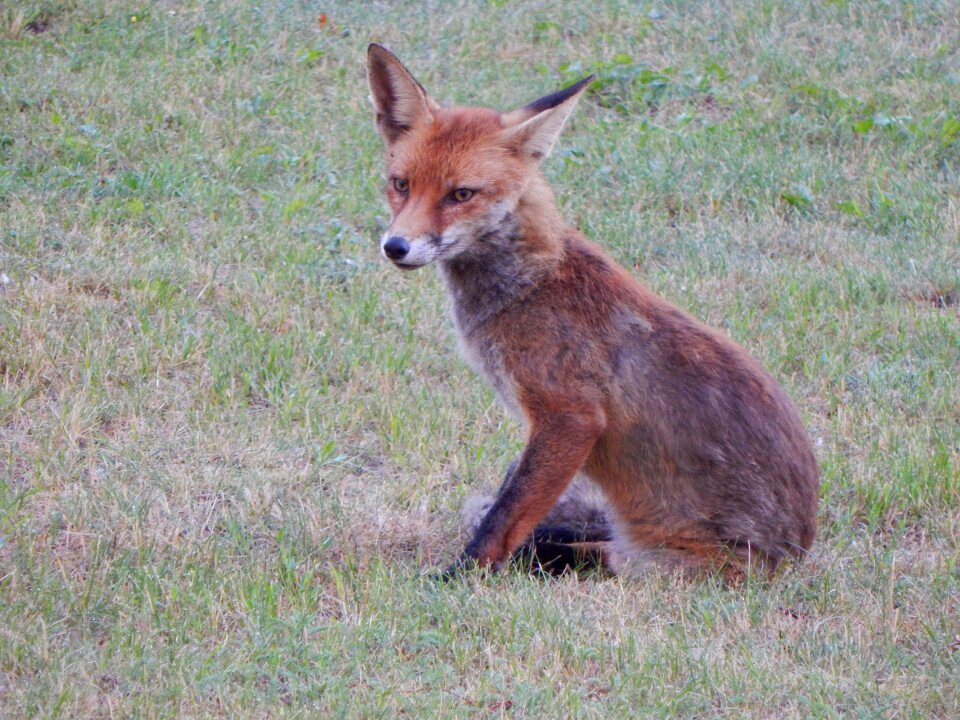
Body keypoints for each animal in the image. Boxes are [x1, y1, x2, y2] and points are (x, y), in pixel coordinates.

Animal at [368, 45, 816, 584]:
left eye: (461, 194)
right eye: (400, 185)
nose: (396, 246)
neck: (531, 283)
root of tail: (797, 554)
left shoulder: (569, 416)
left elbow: (503, 517)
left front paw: (461, 578)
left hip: (655, 565)